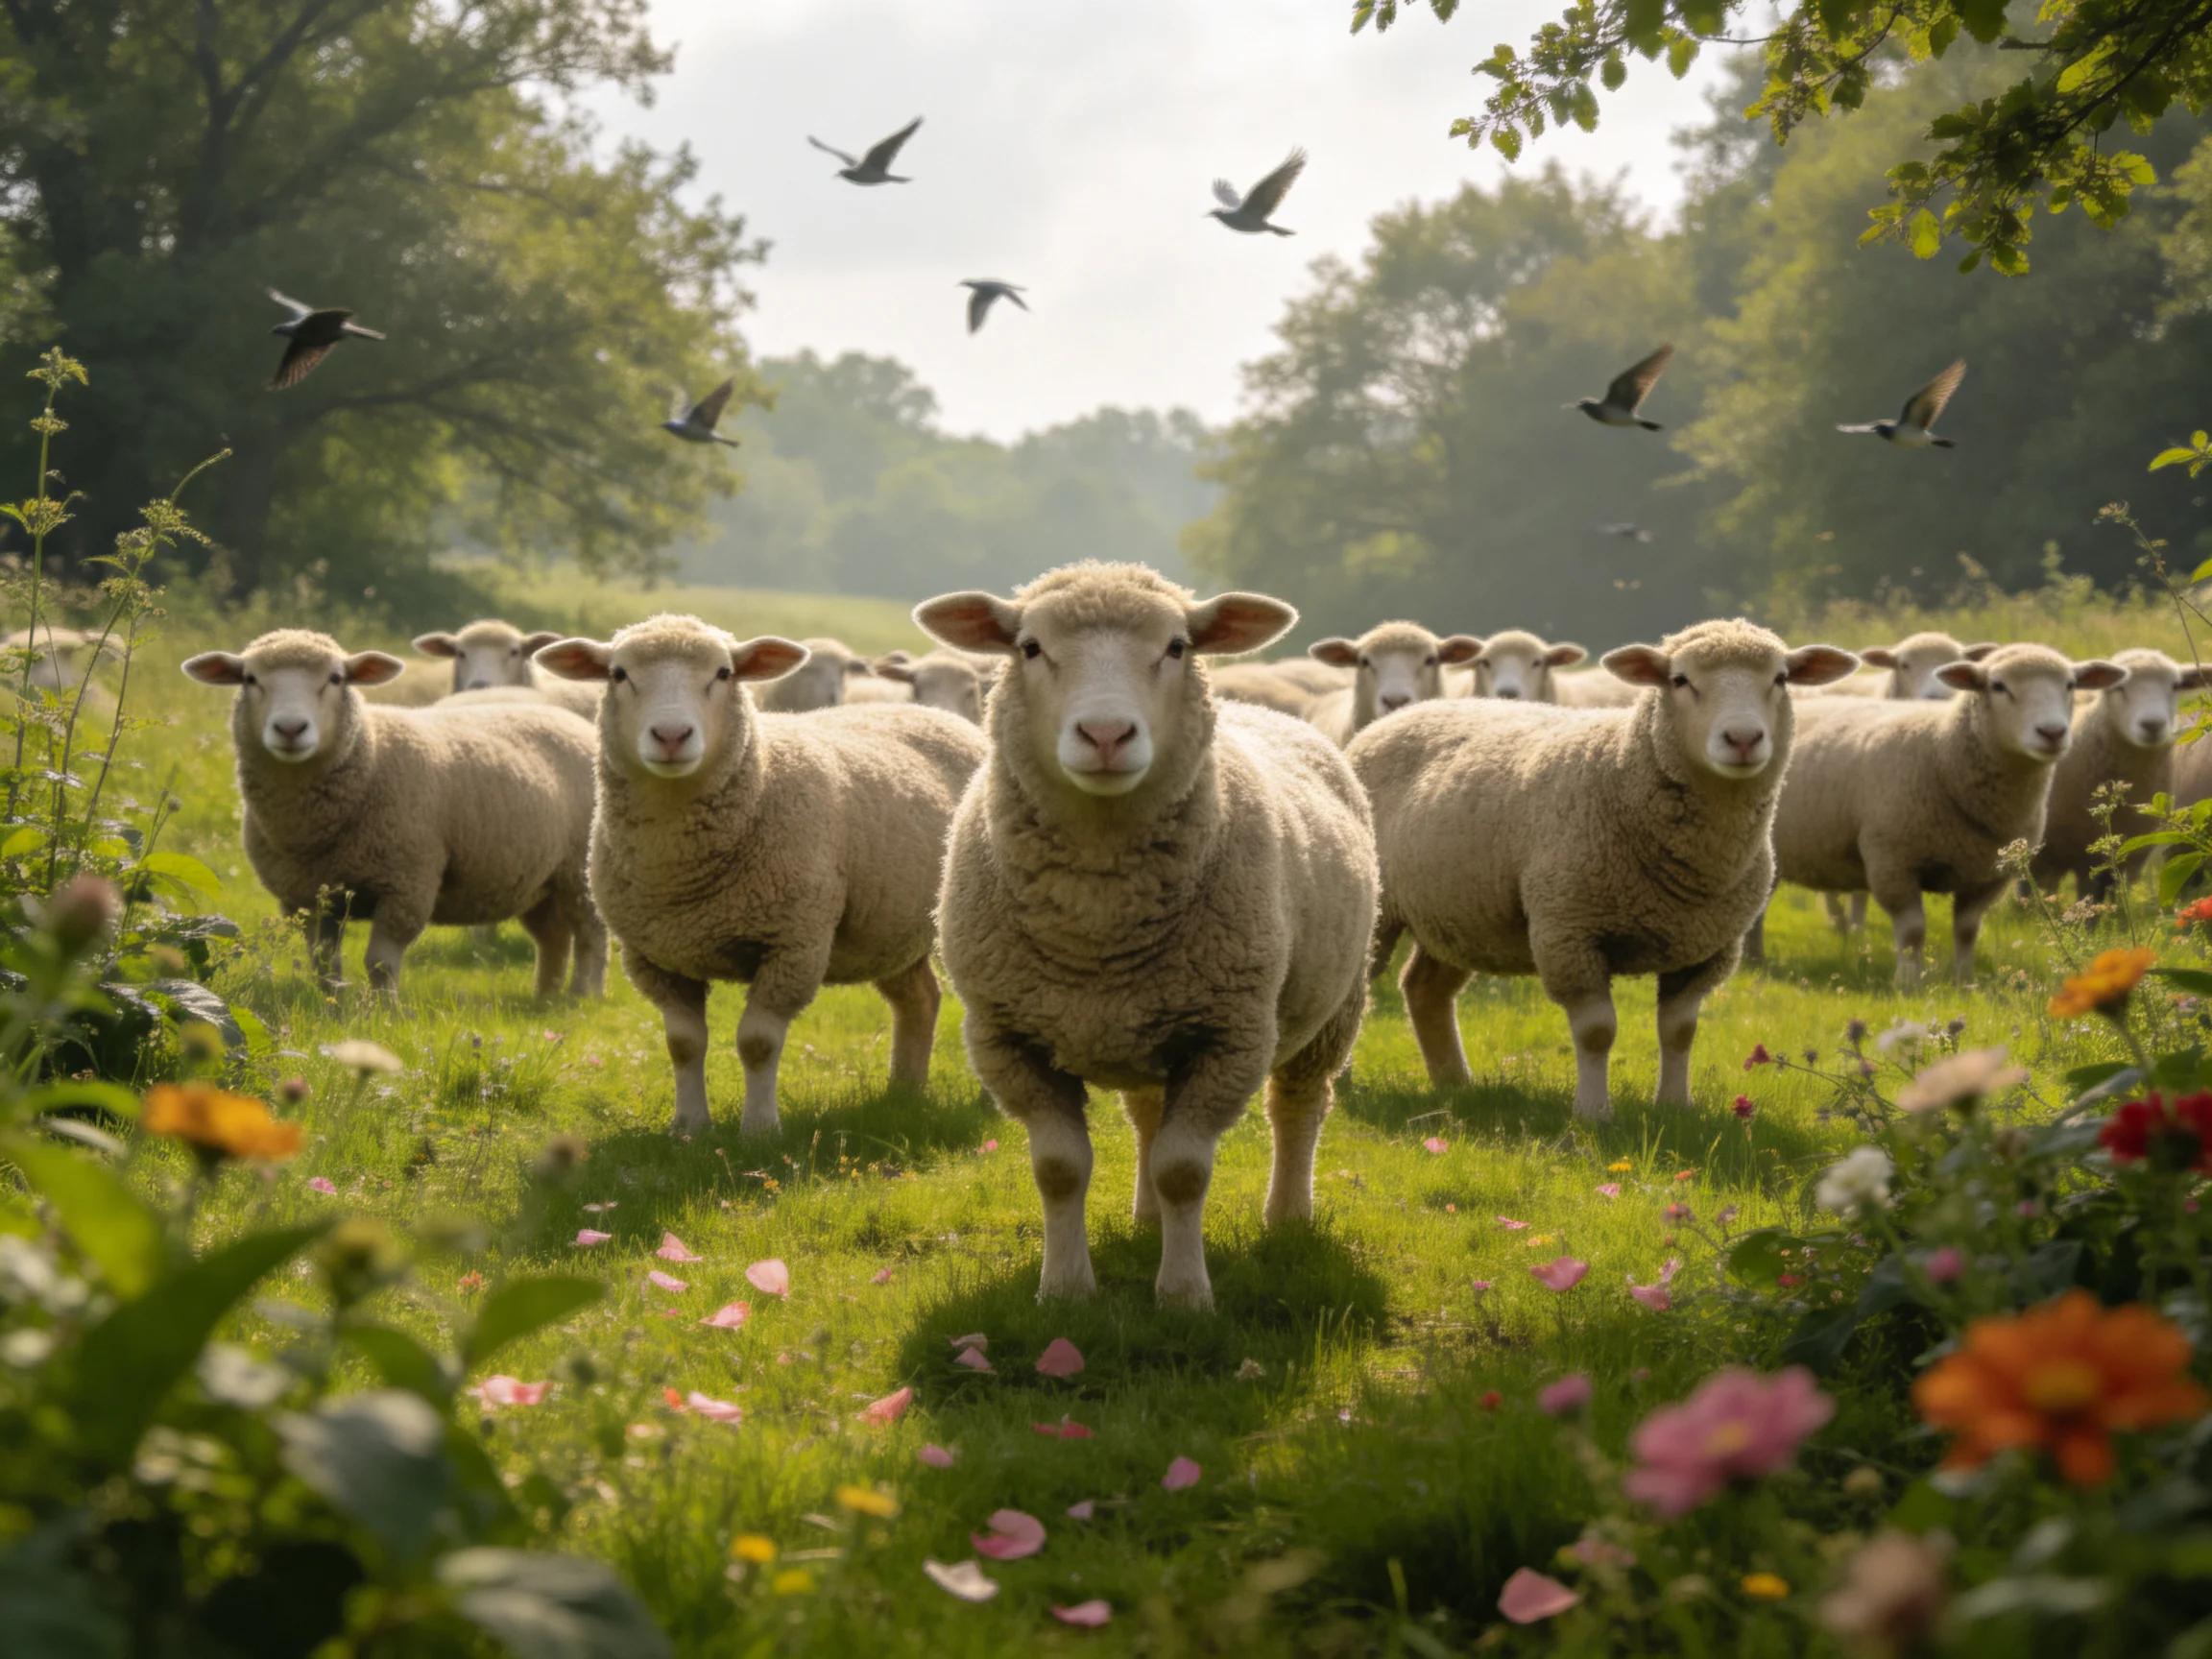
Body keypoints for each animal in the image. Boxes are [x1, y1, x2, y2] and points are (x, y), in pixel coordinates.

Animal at [181, 630, 605, 997]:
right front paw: (333, 1006)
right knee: (553, 939)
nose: (289, 728)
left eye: (336, 678)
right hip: (540, 879)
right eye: (249, 678)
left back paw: (583, 995)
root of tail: (574, 722)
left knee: (591, 935)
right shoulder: (306, 898)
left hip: (579, 871)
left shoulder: (406, 884)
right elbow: (323, 963)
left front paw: (383, 1012)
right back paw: (546, 996)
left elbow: (380, 964)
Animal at [535, 616, 986, 1138]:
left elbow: (757, 1043)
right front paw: (689, 1126)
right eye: (618, 674)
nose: (671, 734)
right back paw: (905, 1092)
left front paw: (759, 1130)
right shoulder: (652, 956)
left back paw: (986, 1101)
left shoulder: (793, 943)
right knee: (920, 999)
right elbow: (683, 1044)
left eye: (724, 673)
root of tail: (939, 716)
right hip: (889, 930)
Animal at [914, 562, 1378, 1311]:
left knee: (1299, 1107)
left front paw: (1184, 1296)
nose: (1106, 734)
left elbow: (1184, 1170)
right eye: (1030, 647)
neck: (1098, 919)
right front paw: (1065, 1290)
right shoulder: (1006, 1037)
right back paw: (1146, 1218)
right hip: (1148, 1027)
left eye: (1178, 647)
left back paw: (1286, 1218)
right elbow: (1059, 1169)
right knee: (1148, 1116)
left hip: (1333, 1009)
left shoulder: (1229, 1036)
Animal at [1758, 644, 2125, 984]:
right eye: (1998, 686)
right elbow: (1912, 932)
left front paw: (1964, 981)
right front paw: (1908, 983)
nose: (2052, 733)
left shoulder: (1989, 875)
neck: (1942, 751)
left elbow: (1967, 930)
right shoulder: (1893, 862)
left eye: (2070, 685)